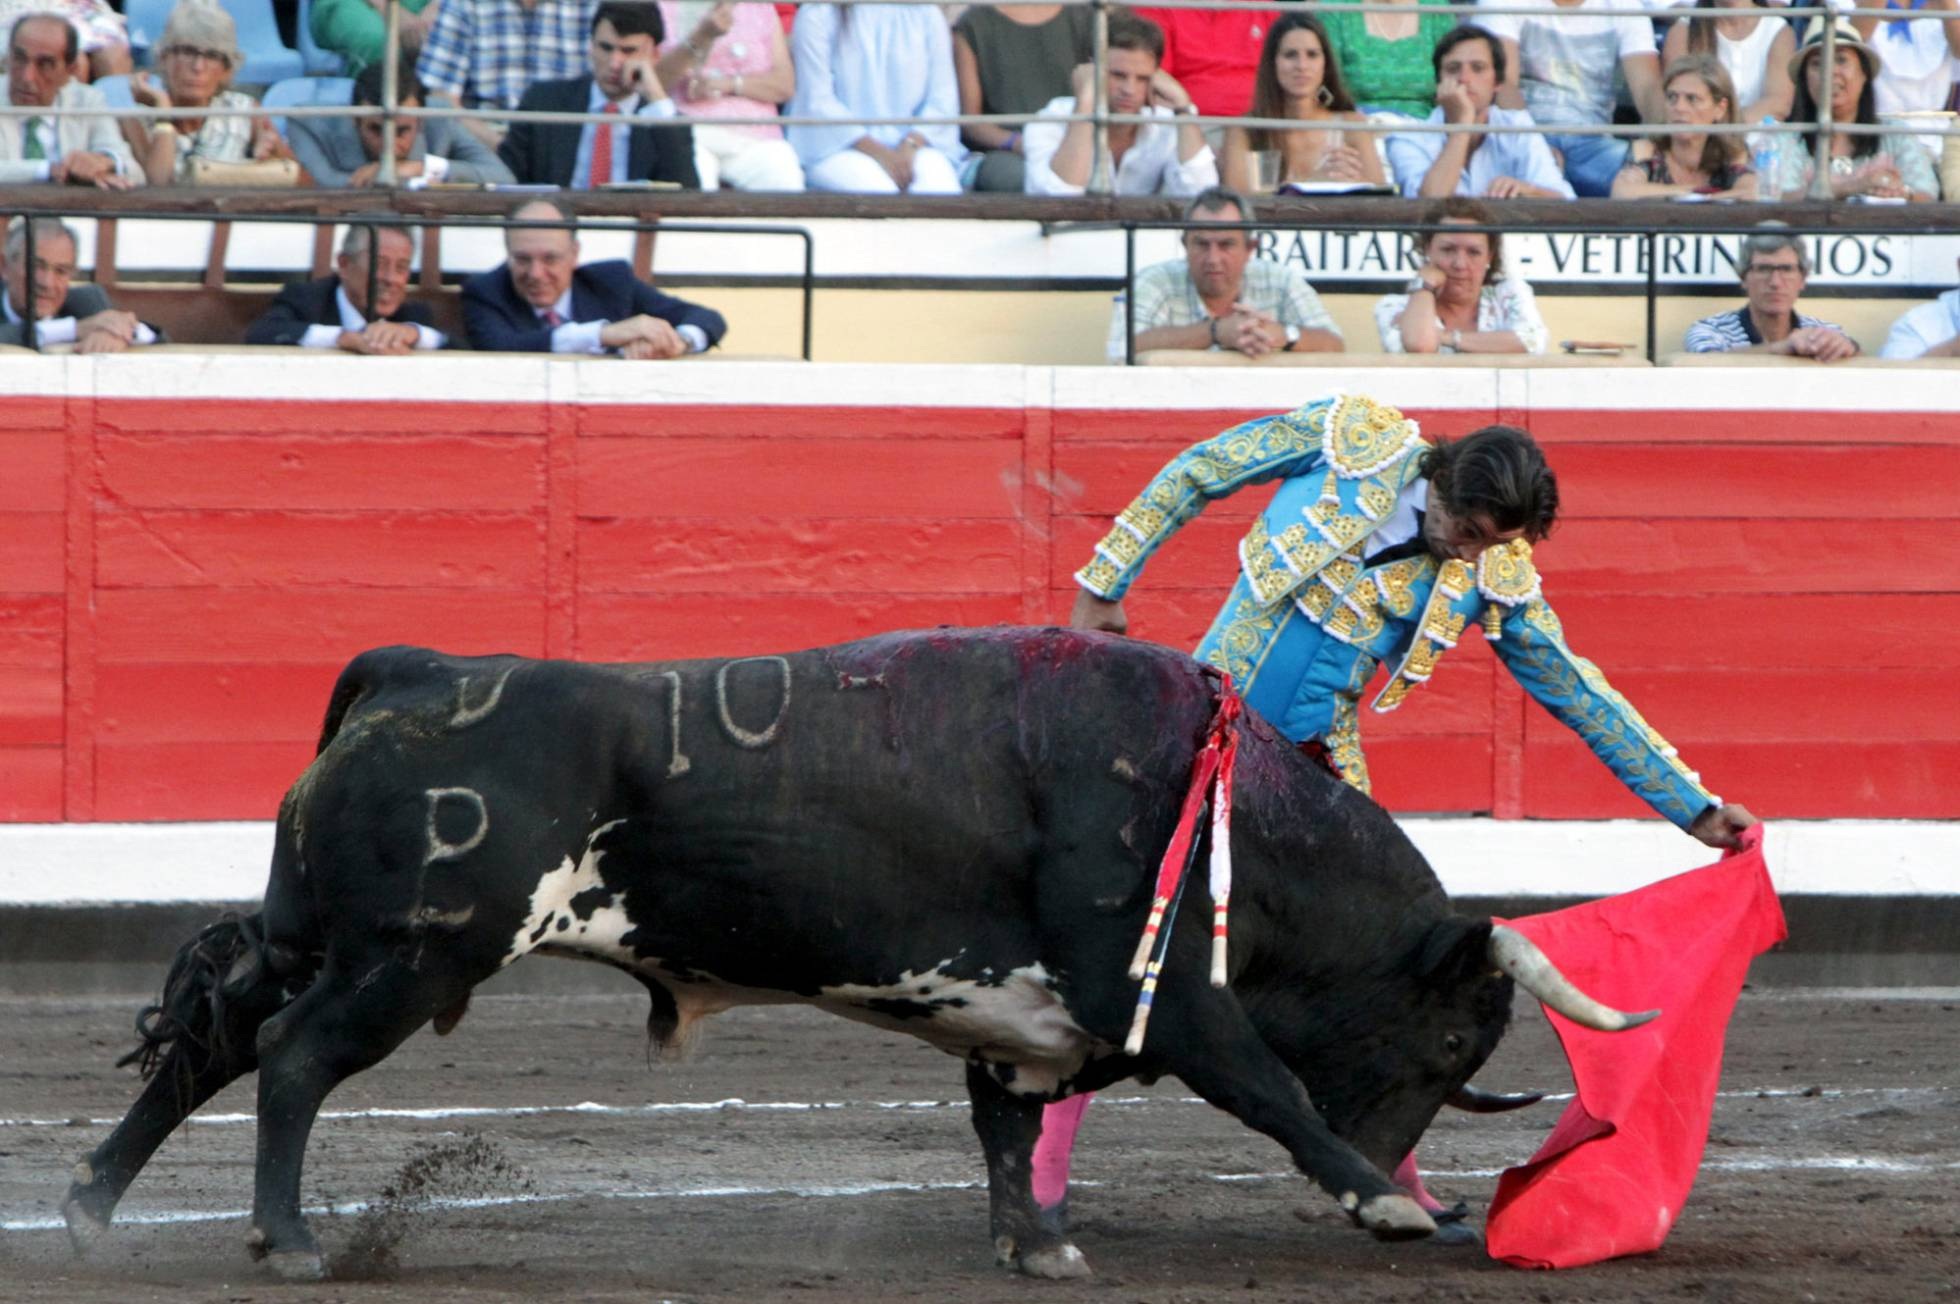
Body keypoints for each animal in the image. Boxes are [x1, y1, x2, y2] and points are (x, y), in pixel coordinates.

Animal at [69, 627, 1646, 1278]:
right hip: (409, 961)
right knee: (290, 1063)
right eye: (1451, 1039)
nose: (1416, 1177)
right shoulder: (1165, 999)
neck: (1225, 806)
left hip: (317, 936)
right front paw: (1378, 1208)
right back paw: (284, 1242)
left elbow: (1004, 1132)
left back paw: (90, 1205)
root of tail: (417, 672)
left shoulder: (1025, 1023)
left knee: (219, 1038)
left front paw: (1039, 1246)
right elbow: (1268, 1091)